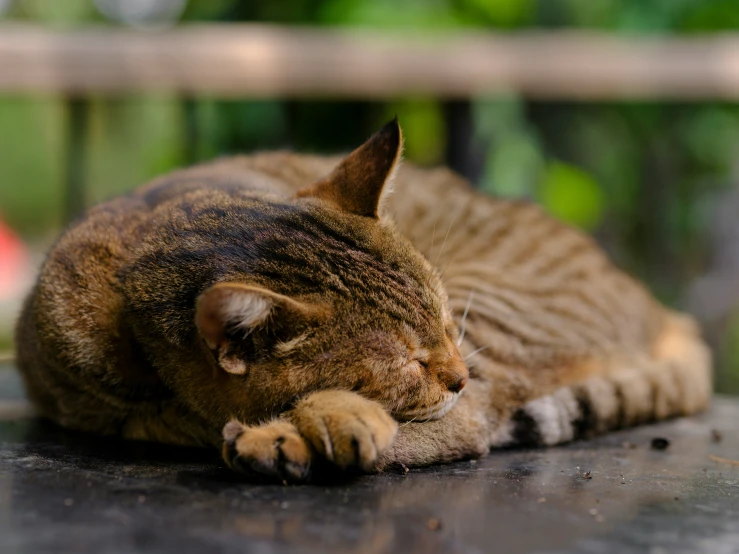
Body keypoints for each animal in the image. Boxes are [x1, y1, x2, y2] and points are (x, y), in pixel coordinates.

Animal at [15, 119, 712, 478]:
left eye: (445, 321)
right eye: (408, 359)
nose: (457, 373)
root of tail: (668, 315)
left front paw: (302, 426)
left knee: (470, 424)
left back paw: (295, 438)